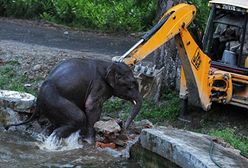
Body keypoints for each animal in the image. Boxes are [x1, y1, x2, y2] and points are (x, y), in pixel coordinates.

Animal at [4, 58, 142, 143]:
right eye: (132, 85)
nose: (124, 129)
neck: (110, 64)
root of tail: (38, 101)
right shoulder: (99, 86)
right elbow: (91, 106)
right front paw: (90, 142)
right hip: (54, 100)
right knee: (78, 118)